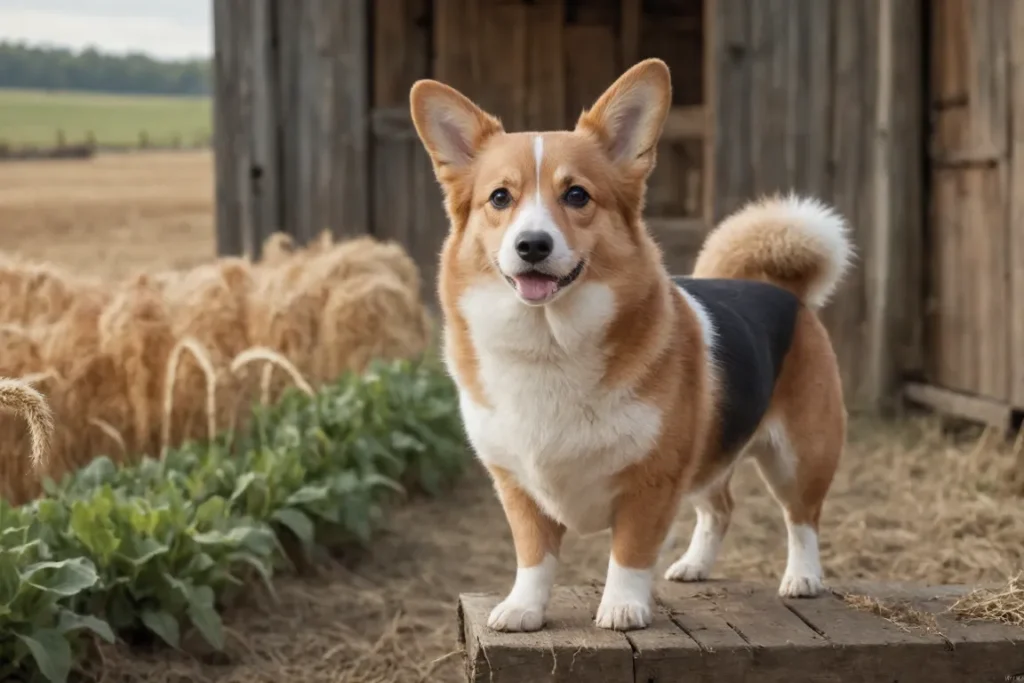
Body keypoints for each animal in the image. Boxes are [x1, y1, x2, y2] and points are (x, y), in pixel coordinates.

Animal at [405, 60, 847, 634]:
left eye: (577, 195)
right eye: (500, 198)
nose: (532, 245)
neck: (550, 343)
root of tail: (783, 290)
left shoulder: (652, 482)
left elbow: (630, 555)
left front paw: (622, 607)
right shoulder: (518, 488)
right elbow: (534, 557)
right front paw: (523, 608)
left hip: (799, 455)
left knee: (802, 517)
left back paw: (803, 576)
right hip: (712, 451)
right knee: (720, 506)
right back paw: (695, 565)